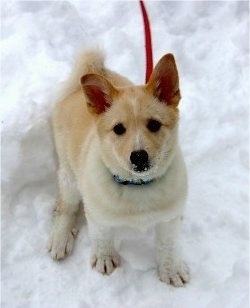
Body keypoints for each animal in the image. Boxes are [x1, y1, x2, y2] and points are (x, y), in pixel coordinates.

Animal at [48, 49, 189, 288]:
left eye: (154, 124)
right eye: (118, 129)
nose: (139, 156)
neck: (138, 186)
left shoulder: (167, 219)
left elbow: (167, 244)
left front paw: (171, 270)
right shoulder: (97, 214)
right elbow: (101, 236)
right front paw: (104, 258)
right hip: (69, 175)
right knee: (66, 206)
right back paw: (60, 237)